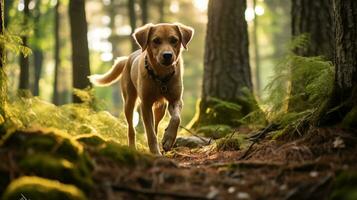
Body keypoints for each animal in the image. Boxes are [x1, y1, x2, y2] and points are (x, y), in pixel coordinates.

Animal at [89, 23, 195, 155]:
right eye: (156, 40)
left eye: (174, 40)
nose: (167, 55)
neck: (161, 76)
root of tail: (128, 58)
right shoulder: (145, 104)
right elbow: (150, 133)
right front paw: (155, 153)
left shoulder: (175, 100)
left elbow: (176, 119)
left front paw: (168, 139)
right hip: (129, 103)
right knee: (131, 129)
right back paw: (132, 147)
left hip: (161, 108)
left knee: (156, 125)